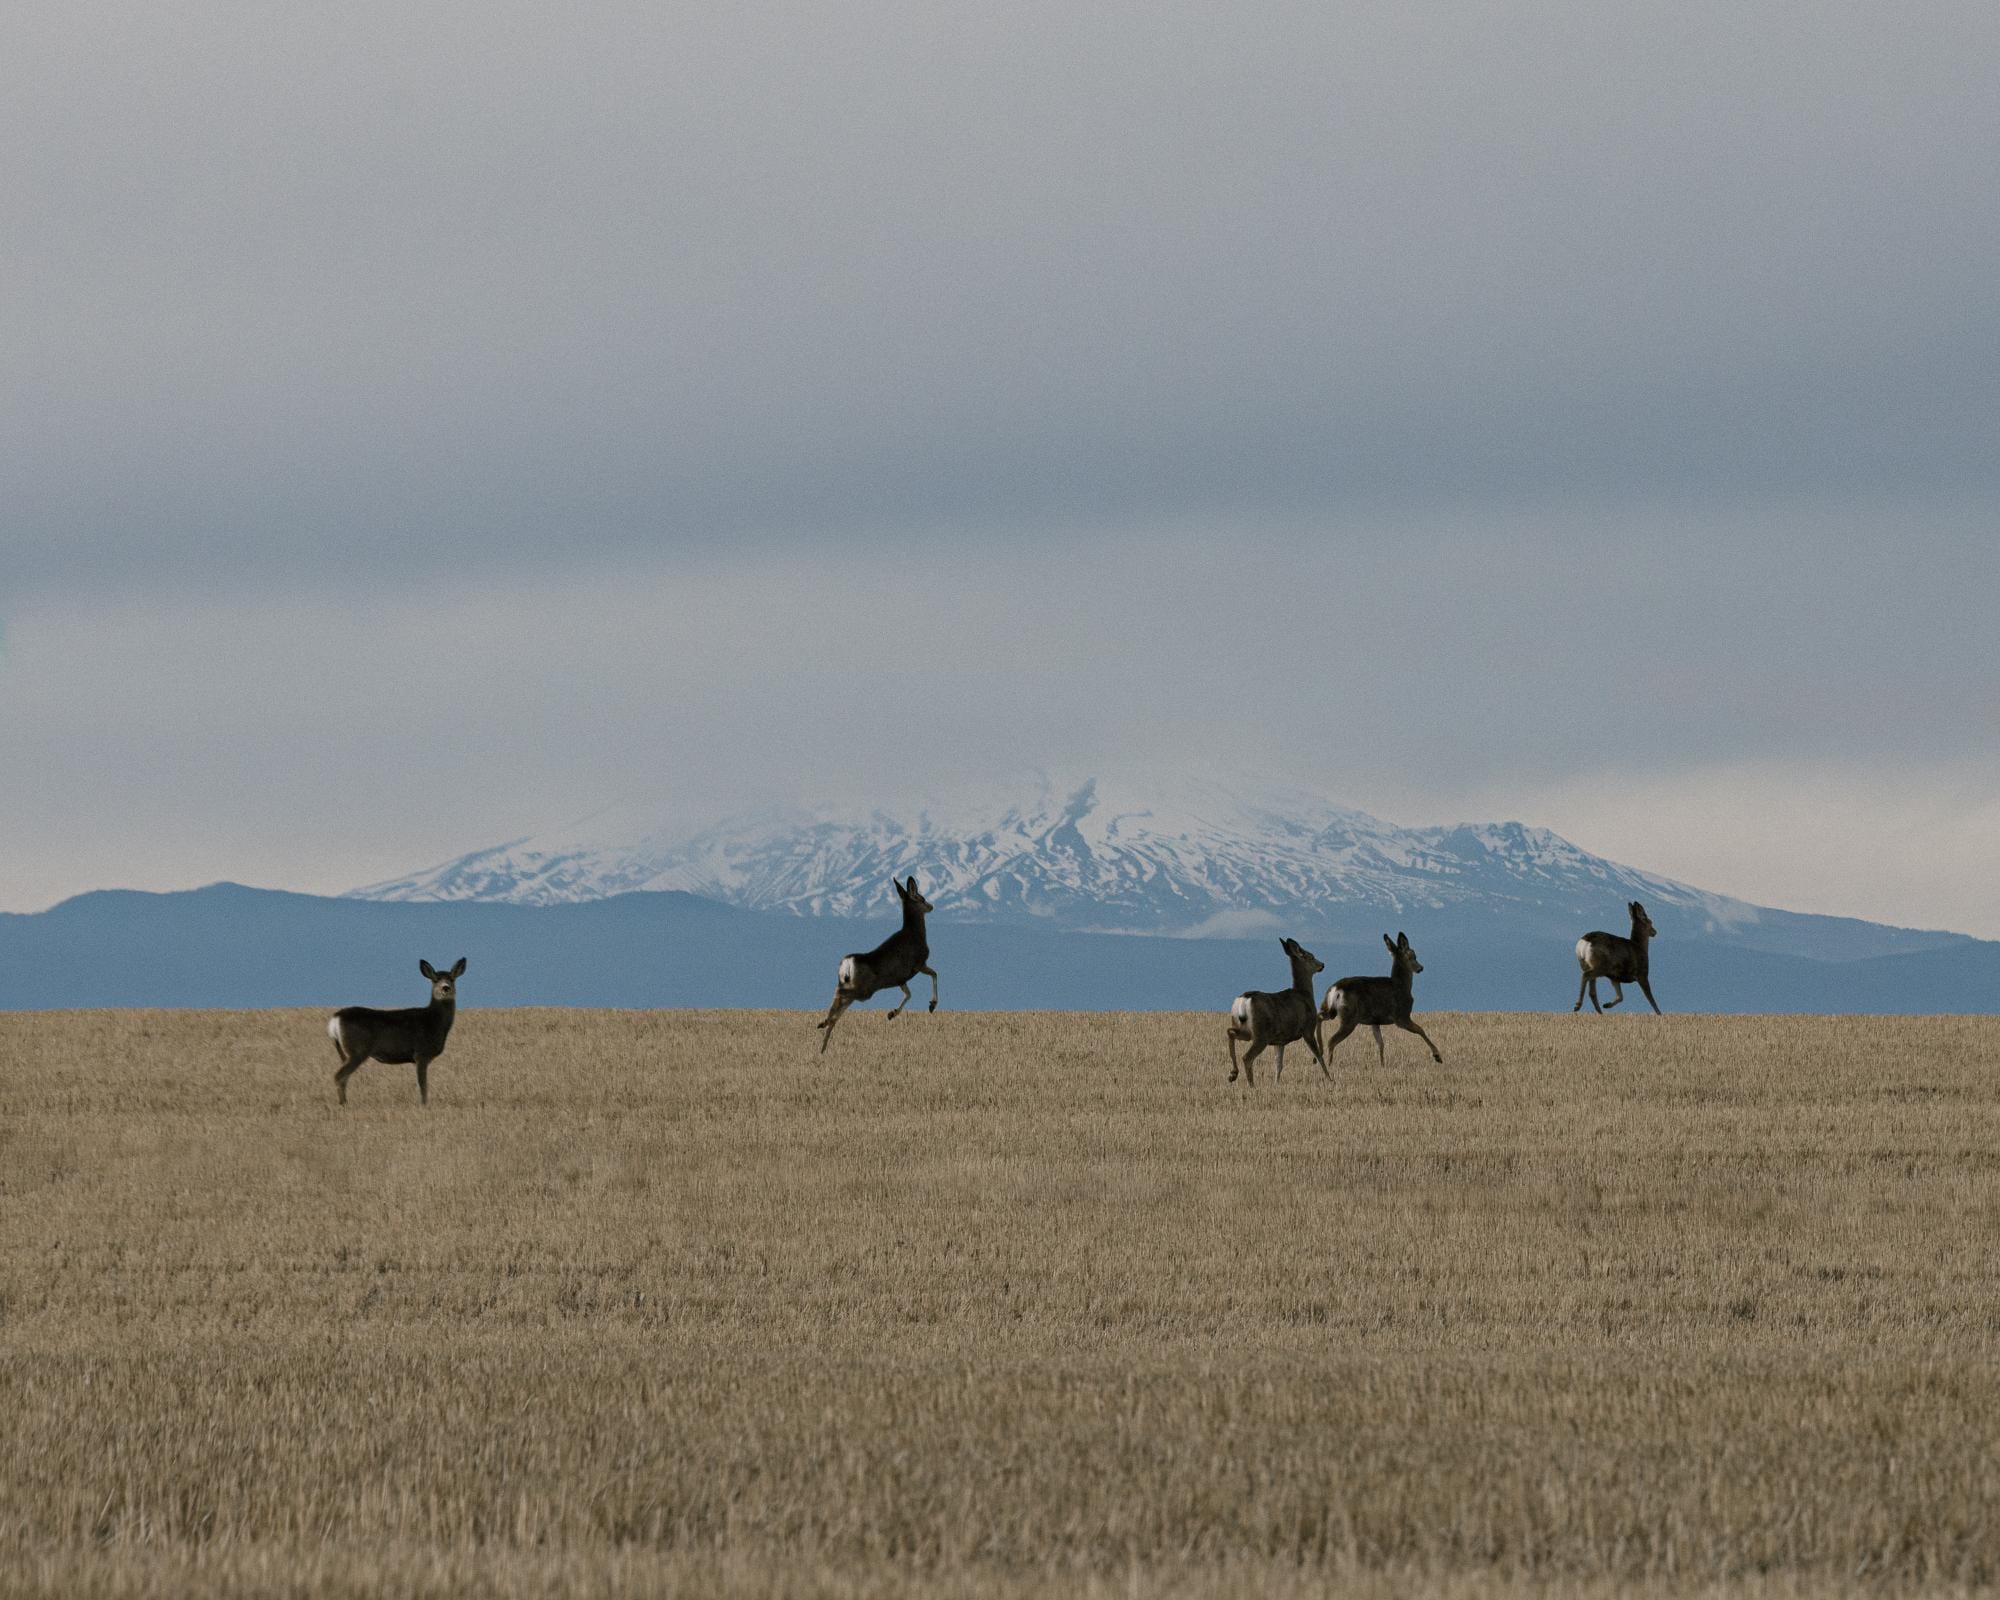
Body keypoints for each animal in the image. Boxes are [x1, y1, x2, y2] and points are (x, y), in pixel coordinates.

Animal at [327, 958, 466, 1106]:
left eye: (452, 979)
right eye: (435, 980)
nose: (446, 988)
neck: (434, 1022)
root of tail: (335, 1018)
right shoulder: (421, 1054)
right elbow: (423, 1085)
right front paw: (423, 1105)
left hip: (345, 1051)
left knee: (344, 1077)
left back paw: (344, 1102)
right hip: (358, 1050)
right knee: (339, 1075)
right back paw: (344, 1104)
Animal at [816, 876, 939, 1053]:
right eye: (921, 898)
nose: (931, 906)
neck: (915, 933)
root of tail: (847, 963)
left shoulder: (900, 979)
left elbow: (908, 994)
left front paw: (892, 1013)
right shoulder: (918, 964)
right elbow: (935, 974)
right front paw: (932, 1005)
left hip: (853, 986)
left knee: (839, 1004)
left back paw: (823, 1042)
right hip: (864, 989)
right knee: (840, 996)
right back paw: (824, 1023)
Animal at [1225, 938, 1327, 1087]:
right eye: (1310, 956)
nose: (1322, 965)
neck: (1304, 994)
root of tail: (1244, 999)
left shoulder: (1280, 1040)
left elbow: (1279, 1064)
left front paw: (1276, 1083)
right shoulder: (1308, 1028)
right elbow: (1319, 1055)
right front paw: (1331, 1079)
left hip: (1245, 1029)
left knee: (1230, 1032)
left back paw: (1233, 1074)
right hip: (1261, 1034)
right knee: (1246, 1057)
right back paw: (1251, 1085)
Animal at [1321, 932, 1443, 1066]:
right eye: (1413, 956)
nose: (1421, 968)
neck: (1402, 985)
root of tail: (1336, 989)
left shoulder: (1375, 1021)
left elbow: (1381, 1044)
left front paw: (1382, 1065)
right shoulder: (1401, 1016)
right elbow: (1421, 1030)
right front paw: (1437, 1056)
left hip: (1330, 1010)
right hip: (1349, 1016)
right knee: (1331, 1040)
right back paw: (1329, 1065)